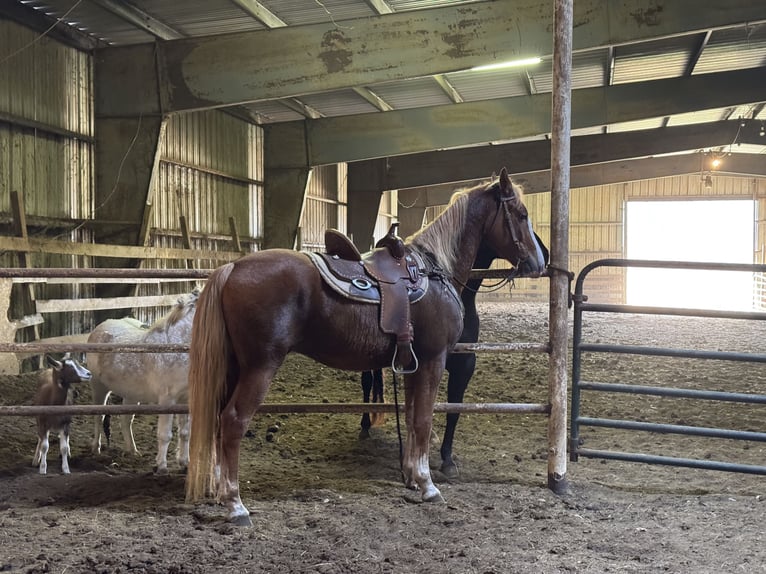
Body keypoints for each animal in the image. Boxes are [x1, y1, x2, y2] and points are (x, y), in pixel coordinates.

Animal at [87, 290, 198, 474]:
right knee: (99, 417)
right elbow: (165, 435)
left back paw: (132, 451)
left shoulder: (186, 400)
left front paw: (184, 463)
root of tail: (99, 328)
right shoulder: (167, 400)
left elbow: (185, 433)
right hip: (99, 387)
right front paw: (161, 466)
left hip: (131, 394)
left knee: (126, 420)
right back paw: (96, 448)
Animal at [185, 168, 544, 528]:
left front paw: (411, 477)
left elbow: (411, 417)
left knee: (218, 419)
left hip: (235, 367)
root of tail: (233, 268)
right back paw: (235, 504)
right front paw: (428, 485)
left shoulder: (412, 364)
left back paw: (219, 491)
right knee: (233, 421)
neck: (433, 270)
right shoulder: (433, 360)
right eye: (521, 215)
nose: (540, 262)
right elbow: (424, 420)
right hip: (260, 367)